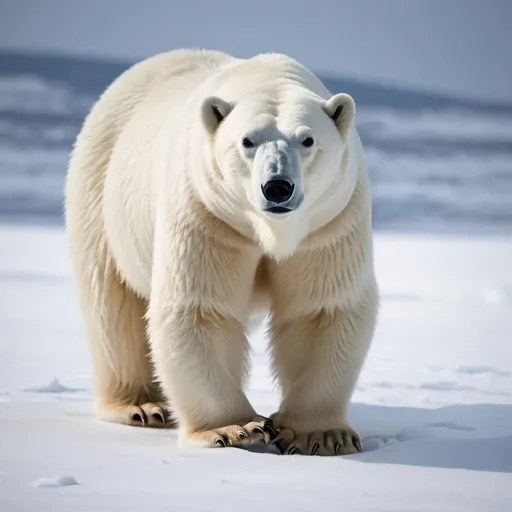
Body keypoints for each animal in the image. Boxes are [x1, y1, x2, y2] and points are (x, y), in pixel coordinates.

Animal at [64, 48, 378, 456]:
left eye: (307, 140)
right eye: (247, 141)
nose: (278, 186)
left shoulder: (329, 223)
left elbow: (320, 309)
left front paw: (320, 435)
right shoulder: (207, 213)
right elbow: (200, 307)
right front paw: (235, 428)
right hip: (101, 190)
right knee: (112, 303)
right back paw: (140, 406)